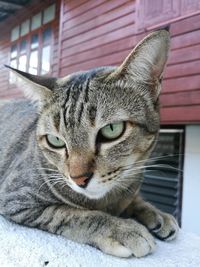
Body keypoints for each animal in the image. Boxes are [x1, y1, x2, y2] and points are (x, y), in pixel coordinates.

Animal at [0, 29, 178, 260]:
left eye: (111, 130)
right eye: (55, 140)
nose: (79, 179)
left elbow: (133, 198)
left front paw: (154, 212)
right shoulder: (15, 198)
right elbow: (68, 213)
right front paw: (121, 228)